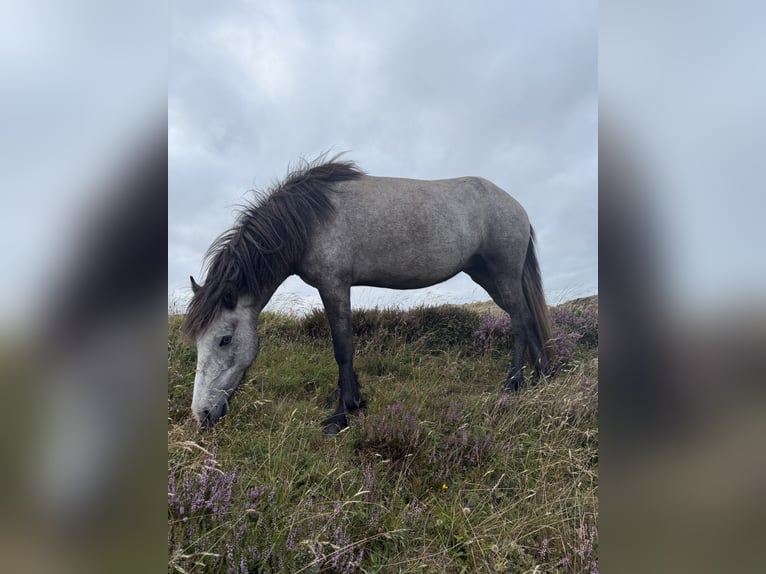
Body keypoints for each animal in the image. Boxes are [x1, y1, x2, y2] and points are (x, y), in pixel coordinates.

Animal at [184, 156, 554, 435]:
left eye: (224, 339)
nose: (202, 415)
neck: (308, 218)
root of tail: (516, 206)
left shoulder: (334, 285)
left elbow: (343, 347)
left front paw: (341, 415)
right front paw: (355, 402)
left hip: (503, 274)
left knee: (519, 320)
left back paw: (513, 383)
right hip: (488, 276)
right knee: (527, 317)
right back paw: (543, 376)